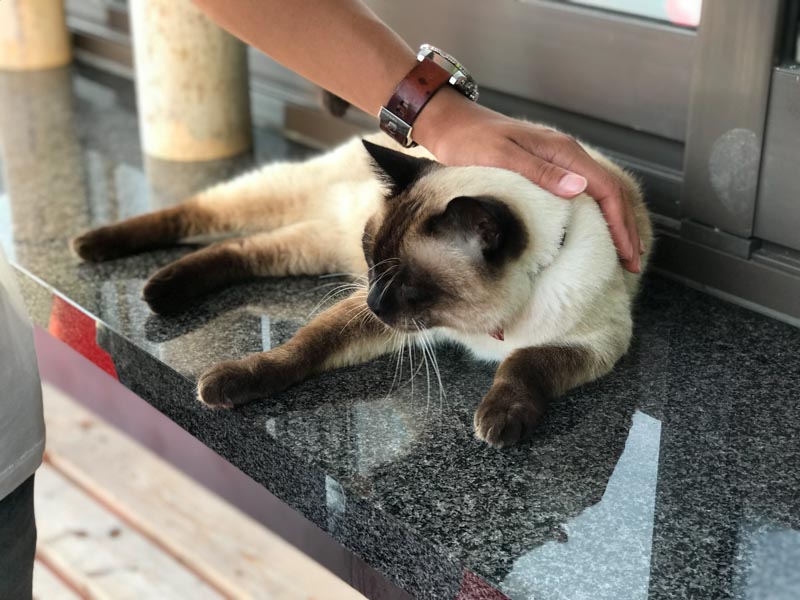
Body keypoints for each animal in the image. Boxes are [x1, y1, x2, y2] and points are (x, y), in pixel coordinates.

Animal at [72, 134, 652, 448]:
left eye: (407, 285)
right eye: (373, 261)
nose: (372, 298)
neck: (486, 330)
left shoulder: (594, 344)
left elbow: (523, 364)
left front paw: (500, 419)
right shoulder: (382, 324)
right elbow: (300, 348)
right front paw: (226, 384)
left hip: (310, 246)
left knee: (245, 249)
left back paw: (159, 292)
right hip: (281, 202)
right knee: (200, 213)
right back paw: (97, 249)